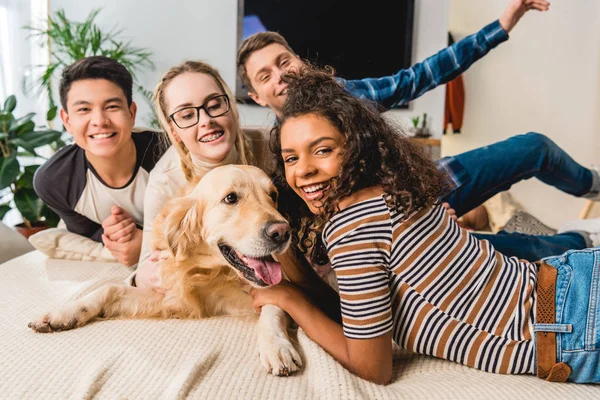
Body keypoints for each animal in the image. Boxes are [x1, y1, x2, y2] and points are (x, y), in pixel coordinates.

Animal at [29, 164, 300, 376]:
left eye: (273, 195)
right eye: (231, 198)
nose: (282, 232)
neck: (207, 270)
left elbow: (274, 304)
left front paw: (276, 345)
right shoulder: (176, 297)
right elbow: (109, 289)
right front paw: (62, 313)